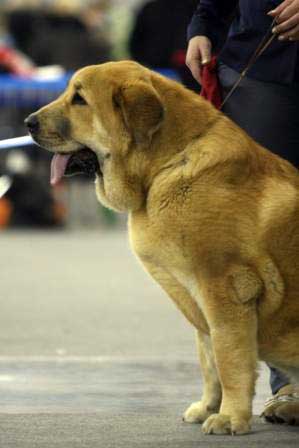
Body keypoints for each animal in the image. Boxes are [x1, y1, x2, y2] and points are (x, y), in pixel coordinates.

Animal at [25, 62, 299, 434]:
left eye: (79, 99)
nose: (28, 122)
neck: (167, 163)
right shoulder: (200, 302)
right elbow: (210, 361)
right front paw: (207, 407)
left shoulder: (225, 289)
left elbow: (230, 359)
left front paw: (229, 417)